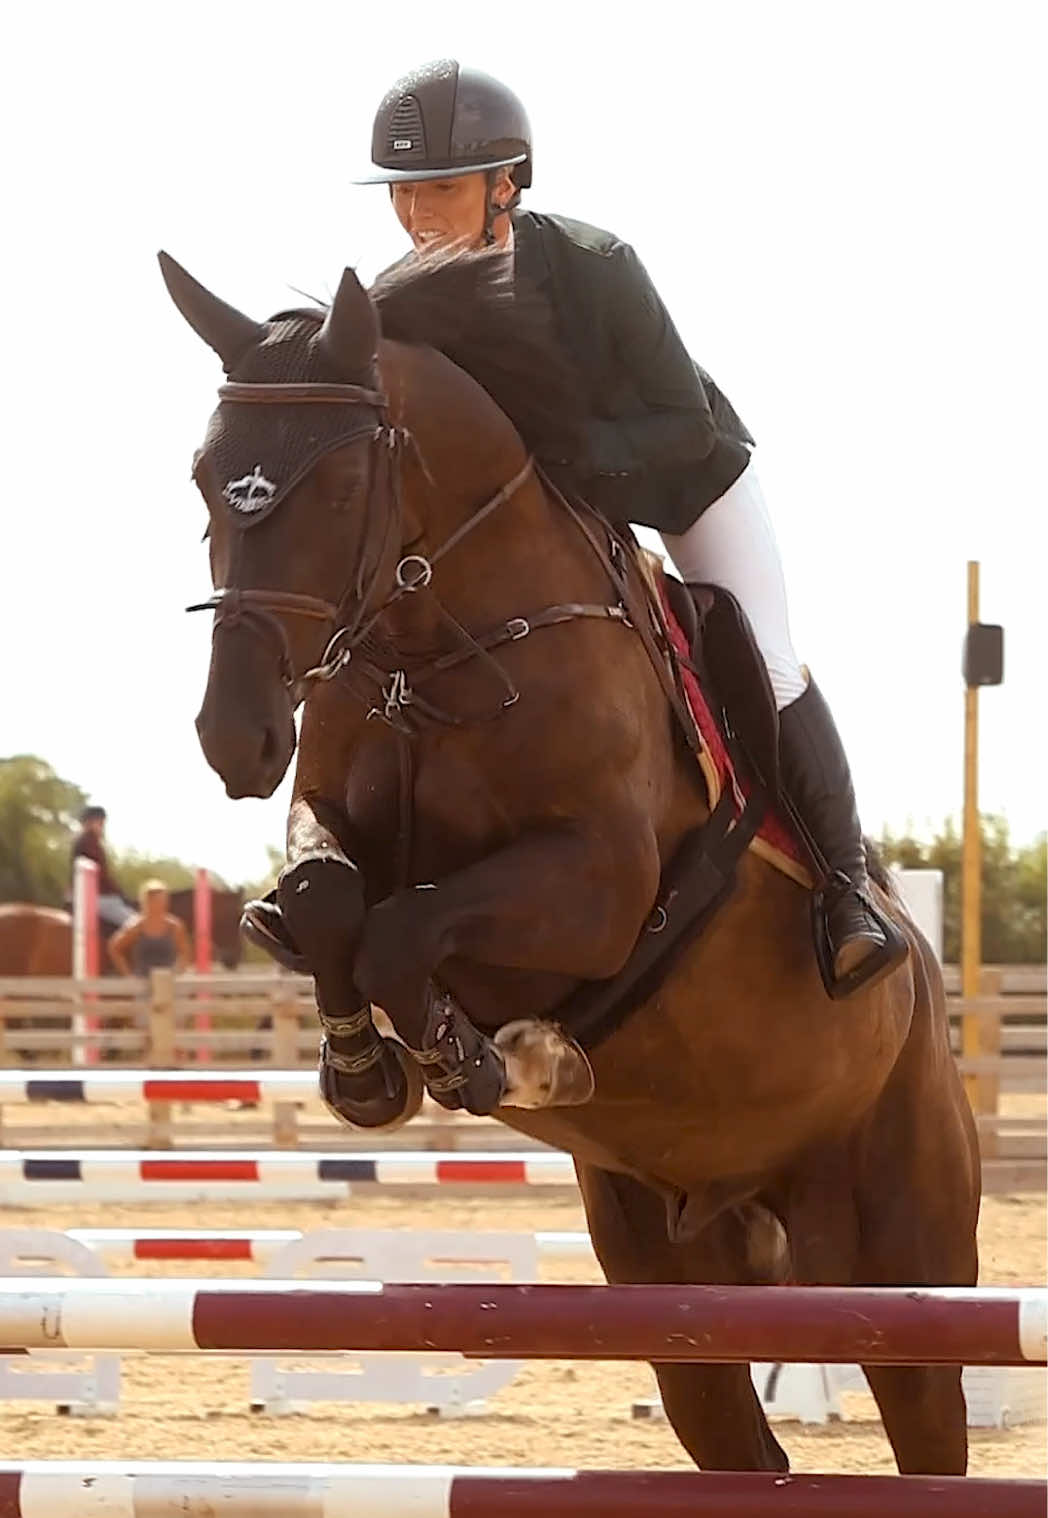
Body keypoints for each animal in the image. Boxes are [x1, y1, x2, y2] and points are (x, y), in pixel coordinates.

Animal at [159, 246, 980, 1476]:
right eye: (210, 479)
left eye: (341, 490)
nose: (235, 736)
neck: (437, 649)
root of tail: (927, 1001)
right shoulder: (332, 818)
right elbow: (325, 898)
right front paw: (367, 1071)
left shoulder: (596, 887)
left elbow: (408, 927)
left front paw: (486, 1055)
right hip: (673, 1274)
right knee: (738, 1439)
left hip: (898, 1261)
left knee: (927, 1421)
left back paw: (852, 933)